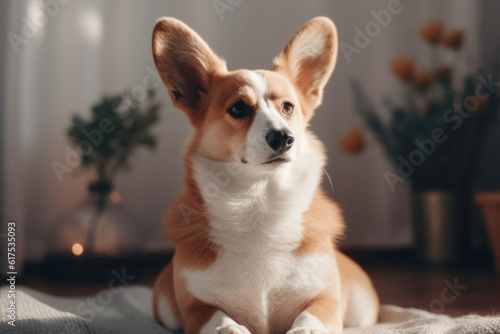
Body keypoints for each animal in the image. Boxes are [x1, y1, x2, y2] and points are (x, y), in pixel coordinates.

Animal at [152, 17, 378, 334]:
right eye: (238, 108)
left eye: (288, 107)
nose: (284, 137)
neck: (259, 199)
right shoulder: (195, 308)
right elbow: (219, 319)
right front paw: (231, 329)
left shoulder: (325, 298)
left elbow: (311, 316)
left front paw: (305, 330)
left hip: (362, 311)